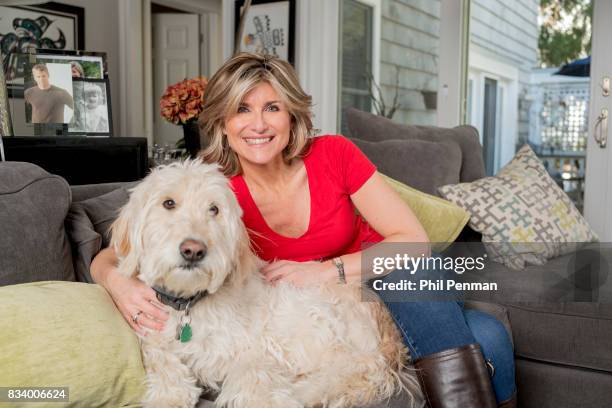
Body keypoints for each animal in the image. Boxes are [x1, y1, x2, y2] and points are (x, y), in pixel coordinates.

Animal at [111, 161, 420, 406]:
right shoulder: (155, 341)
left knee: (355, 368)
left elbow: (252, 383)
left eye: (214, 209)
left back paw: (308, 391)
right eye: (168, 203)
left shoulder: (256, 352)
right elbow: (164, 368)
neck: (189, 305)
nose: (194, 250)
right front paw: (169, 394)